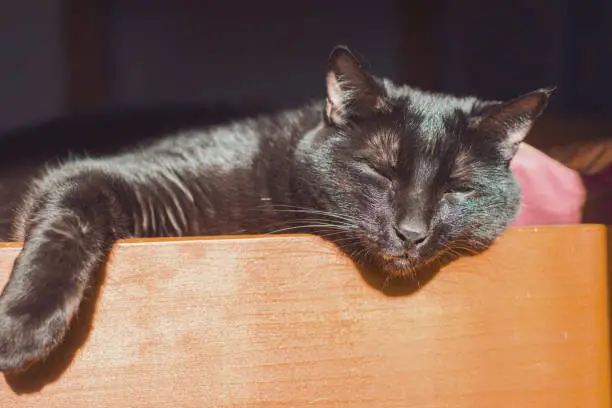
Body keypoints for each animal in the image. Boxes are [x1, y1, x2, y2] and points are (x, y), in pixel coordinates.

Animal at [0, 45, 548, 372]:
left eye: (458, 188)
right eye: (381, 171)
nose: (411, 231)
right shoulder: (94, 175)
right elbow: (68, 221)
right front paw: (24, 325)